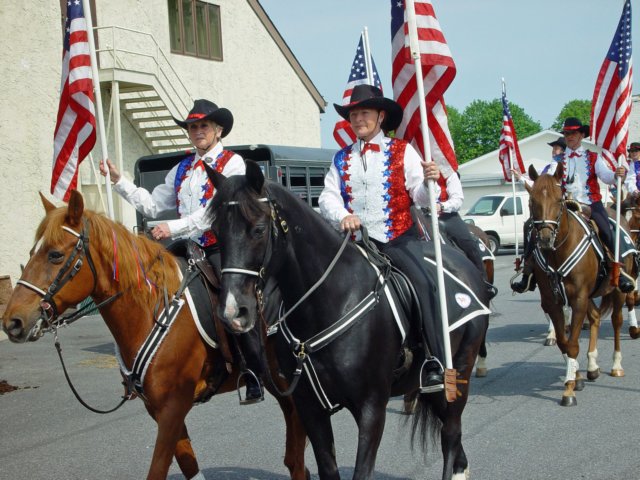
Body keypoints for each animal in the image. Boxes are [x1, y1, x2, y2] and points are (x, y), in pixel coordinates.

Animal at [1, 192, 308, 480]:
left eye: (55, 255)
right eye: (32, 251)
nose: (12, 322)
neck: (154, 311)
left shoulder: (173, 407)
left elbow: (157, 469)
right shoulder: (159, 408)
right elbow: (188, 465)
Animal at [205, 162, 490, 480]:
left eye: (258, 229)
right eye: (216, 232)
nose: (233, 311)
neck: (331, 301)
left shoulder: (371, 408)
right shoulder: (310, 409)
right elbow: (328, 469)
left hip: (458, 372)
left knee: (451, 435)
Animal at [528, 164, 632, 404]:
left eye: (559, 200)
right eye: (531, 200)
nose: (545, 238)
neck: (557, 253)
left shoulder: (578, 300)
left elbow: (573, 343)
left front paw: (568, 390)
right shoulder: (554, 301)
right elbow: (564, 342)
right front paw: (575, 378)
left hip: (617, 291)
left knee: (616, 321)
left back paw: (616, 365)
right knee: (594, 318)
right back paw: (592, 367)